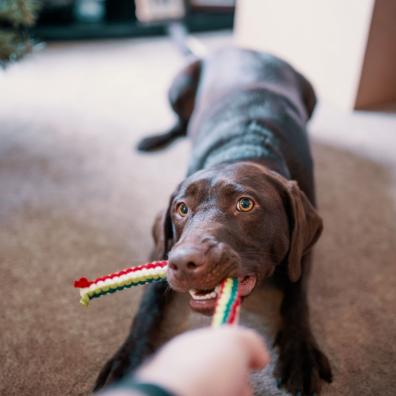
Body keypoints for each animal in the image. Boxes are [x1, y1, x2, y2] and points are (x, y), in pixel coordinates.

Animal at [94, 48, 332, 394]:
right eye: (181, 209)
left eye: (245, 204)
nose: (184, 262)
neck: (244, 147)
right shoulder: (163, 248)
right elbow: (147, 304)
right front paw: (128, 358)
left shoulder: (303, 249)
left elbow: (297, 296)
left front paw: (299, 351)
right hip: (180, 84)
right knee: (181, 124)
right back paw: (154, 139)